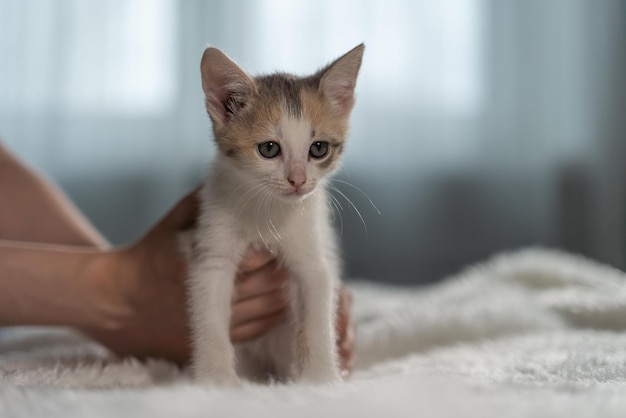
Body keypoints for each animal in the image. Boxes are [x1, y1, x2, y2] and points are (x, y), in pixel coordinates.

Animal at [188, 43, 364, 386]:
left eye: (319, 148)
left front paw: (321, 379)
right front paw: (214, 381)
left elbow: (316, 316)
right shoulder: (212, 253)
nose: (297, 180)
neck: (267, 210)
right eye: (269, 149)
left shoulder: (313, 255)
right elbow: (210, 315)